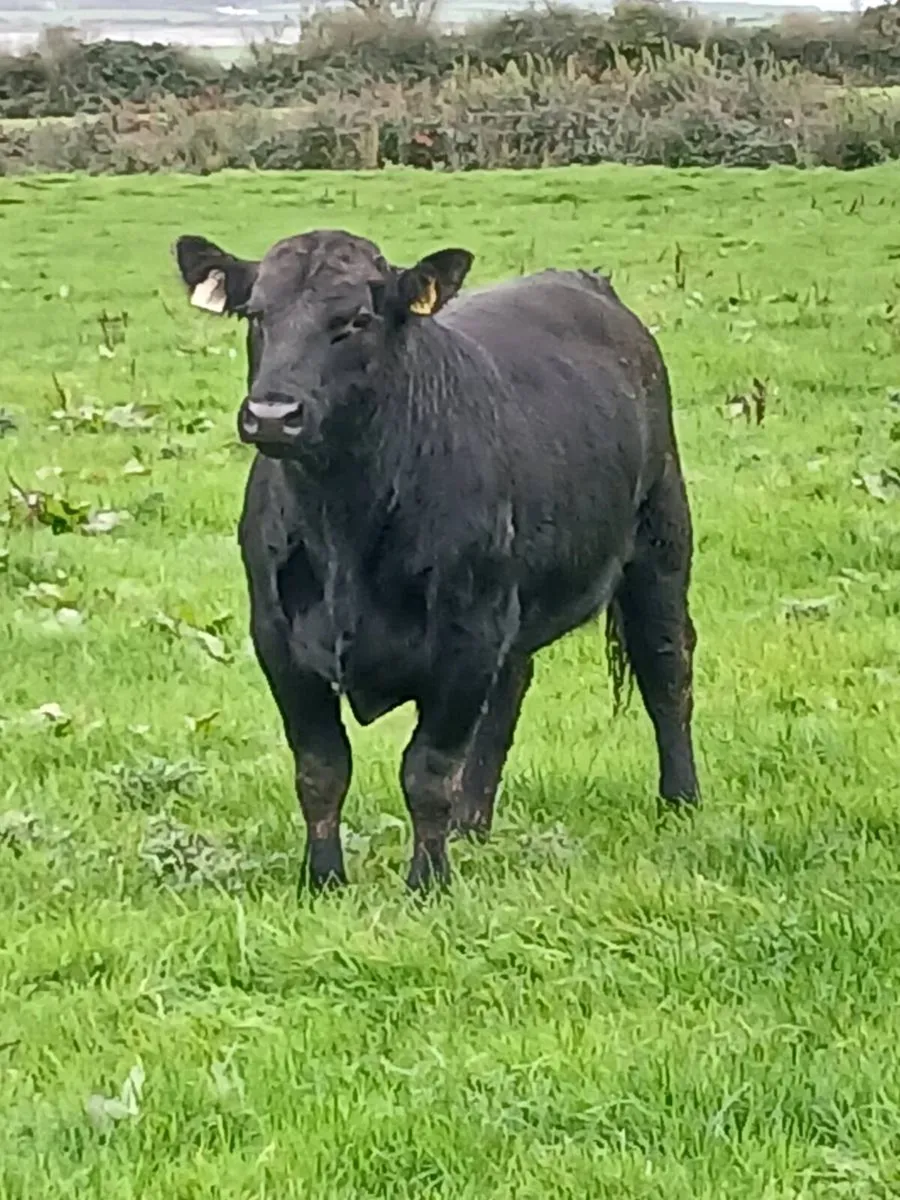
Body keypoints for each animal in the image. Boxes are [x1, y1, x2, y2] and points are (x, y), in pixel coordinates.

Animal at [173, 228, 700, 893]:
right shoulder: (277, 638)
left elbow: (426, 771)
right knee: (511, 691)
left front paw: (427, 882)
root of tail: (584, 281)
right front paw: (323, 879)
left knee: (666, 668)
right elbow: (320, 769)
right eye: (256, 314)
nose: (272, 415)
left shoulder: (465, 638)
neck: (343, 524)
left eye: (357, 319)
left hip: (660, 540)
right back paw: (473, 824)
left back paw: (680, 800)